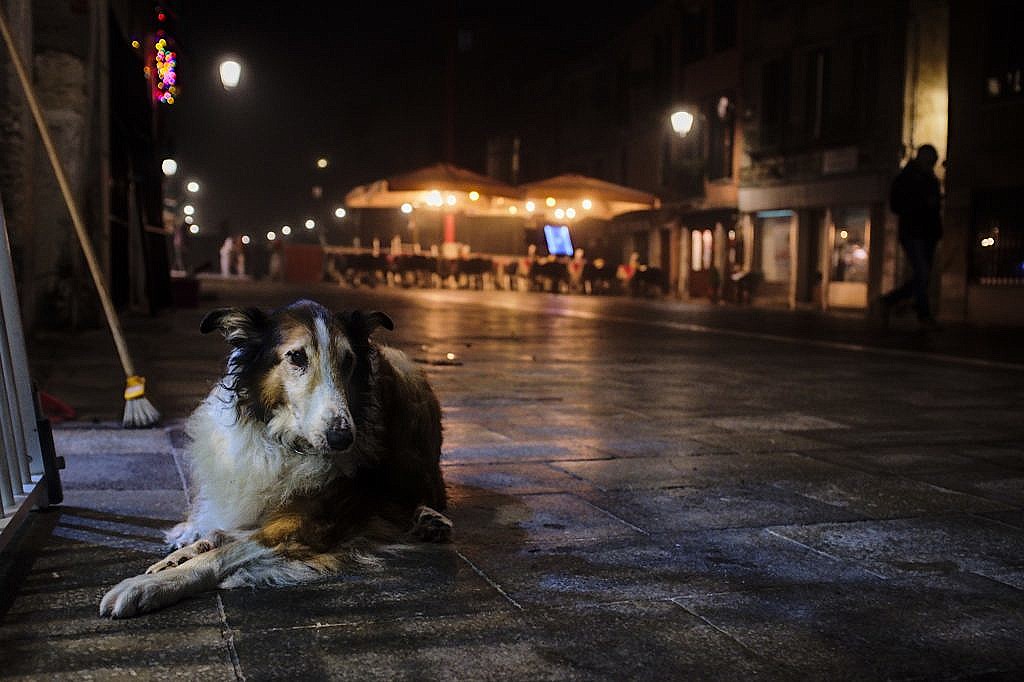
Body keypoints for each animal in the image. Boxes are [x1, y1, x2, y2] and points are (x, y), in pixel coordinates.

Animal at [101, 296, 450, 614]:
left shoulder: (314, 521)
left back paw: (429, 519)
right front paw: (182, 553)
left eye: (348, 360)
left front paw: (148, 586)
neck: (285, 440)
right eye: (296, 356)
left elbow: (226, 553)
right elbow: (226, 535)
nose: (342, 438)